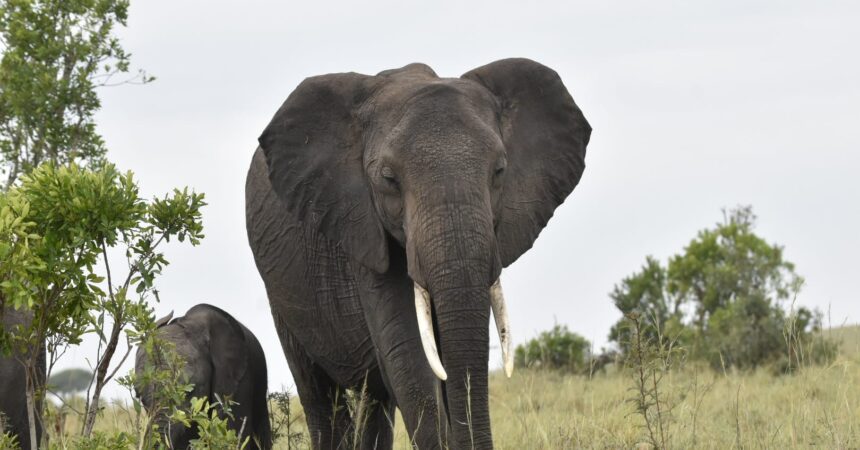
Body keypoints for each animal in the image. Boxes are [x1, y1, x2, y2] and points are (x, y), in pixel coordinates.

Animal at [245, 57, 591, 449]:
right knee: (317, 389)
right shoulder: (360, 226)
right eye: (388, 178)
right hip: (282, 294)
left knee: (375, 397)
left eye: (500, 170)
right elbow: (410, 355)